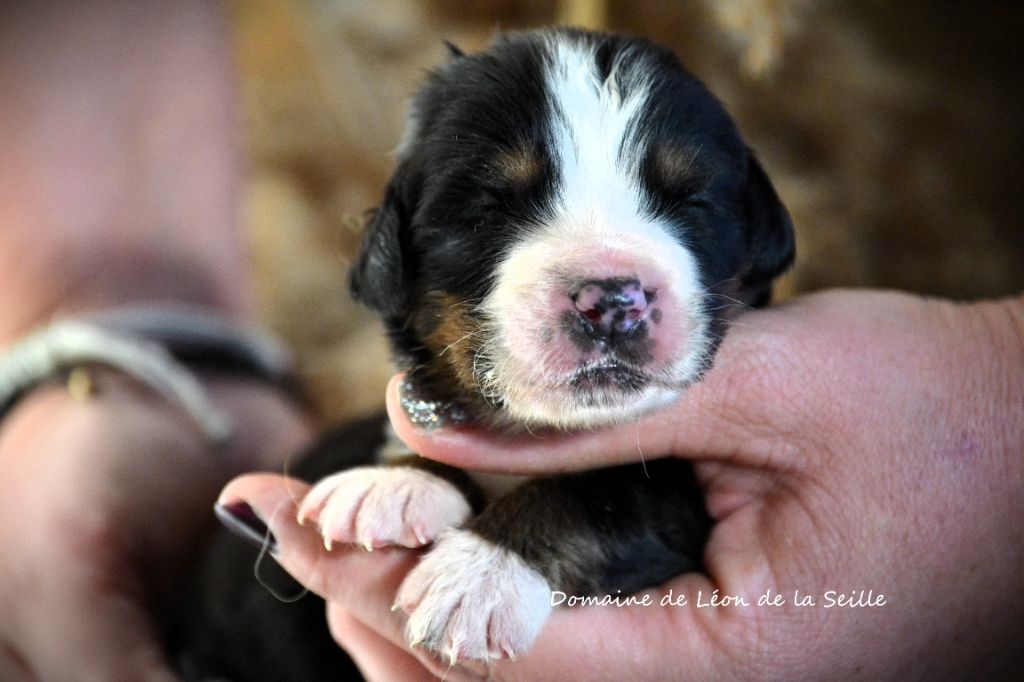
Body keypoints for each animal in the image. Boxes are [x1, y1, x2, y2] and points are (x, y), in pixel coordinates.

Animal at [169, 27, 790, 679]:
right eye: (491, 205)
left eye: (692, 202)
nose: (612, 301)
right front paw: (393, 484)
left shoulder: (683, 500)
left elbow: (604, 495)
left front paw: (478, 578)